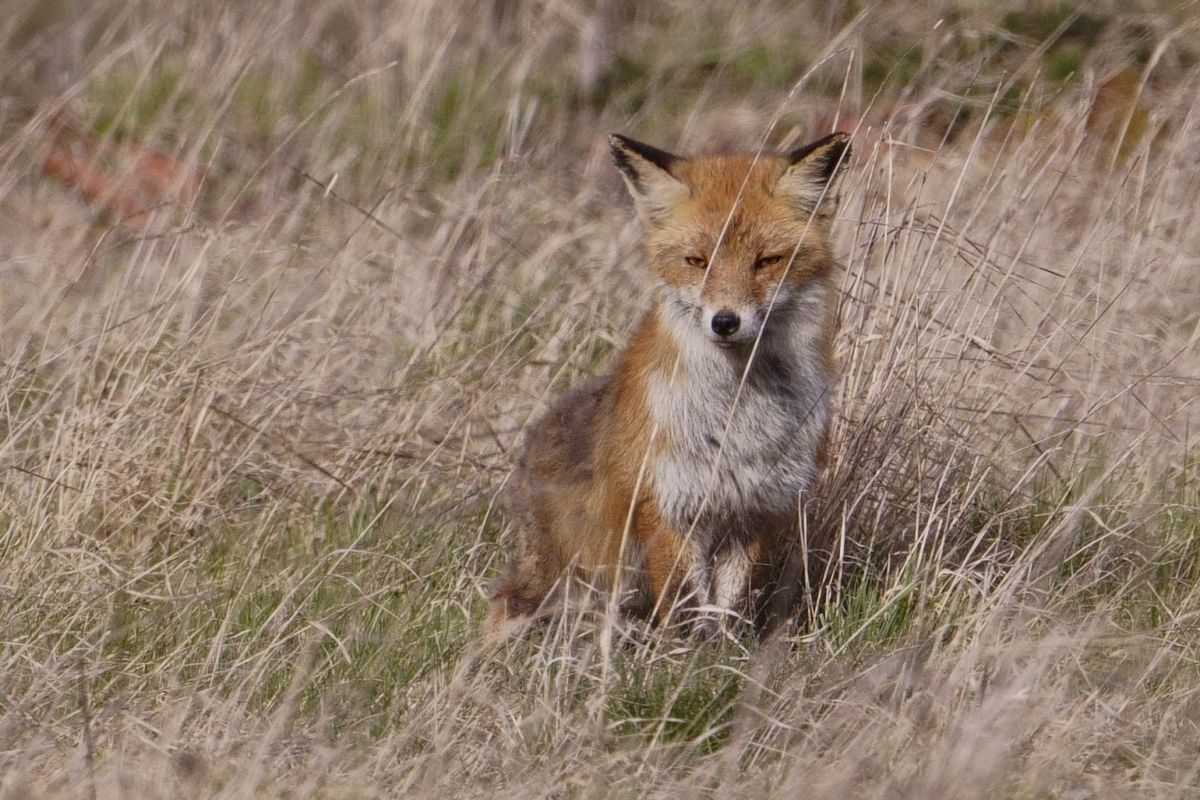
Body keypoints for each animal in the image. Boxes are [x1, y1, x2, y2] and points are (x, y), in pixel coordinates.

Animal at [488, 130, 851, 634]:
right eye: (696, 261)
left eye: (767, 261)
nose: (725, 321)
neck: (740, 417)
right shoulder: (665, 510)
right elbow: (684, 608)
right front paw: (687, 655)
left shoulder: (754, 512)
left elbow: (727, 608)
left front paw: (724, 651)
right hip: (557, 583)